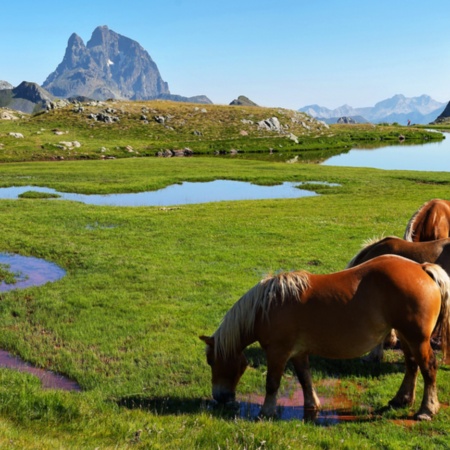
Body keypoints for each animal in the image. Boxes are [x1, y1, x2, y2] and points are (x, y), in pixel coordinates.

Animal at [200, 256, 450, 422]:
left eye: (212, 361)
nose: (219, 397)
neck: (267, 306)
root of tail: (422, 268)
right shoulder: (298, 353)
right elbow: (305, 379)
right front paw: (313, 406)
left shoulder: (278, 352)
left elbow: (272, 383)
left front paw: (266, 412)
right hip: (406, 337)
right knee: (411, 366)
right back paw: (401, 399)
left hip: (418, 339)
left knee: (428, 369)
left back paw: (426, 410)